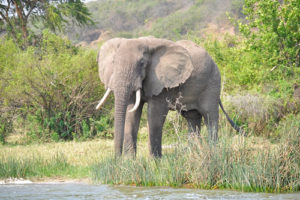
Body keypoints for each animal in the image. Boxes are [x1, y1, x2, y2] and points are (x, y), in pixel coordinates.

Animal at [95, 36, 240, 157]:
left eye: (142, 63)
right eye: (113, 62)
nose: (116, 159)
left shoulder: (162, 83)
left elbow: (154, 115)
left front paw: (155, 163)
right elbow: (132, 113)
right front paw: (129, 163)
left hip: (212, 84)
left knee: (210, 116)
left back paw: (212, 152)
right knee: (192, 118)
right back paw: (194, 154)